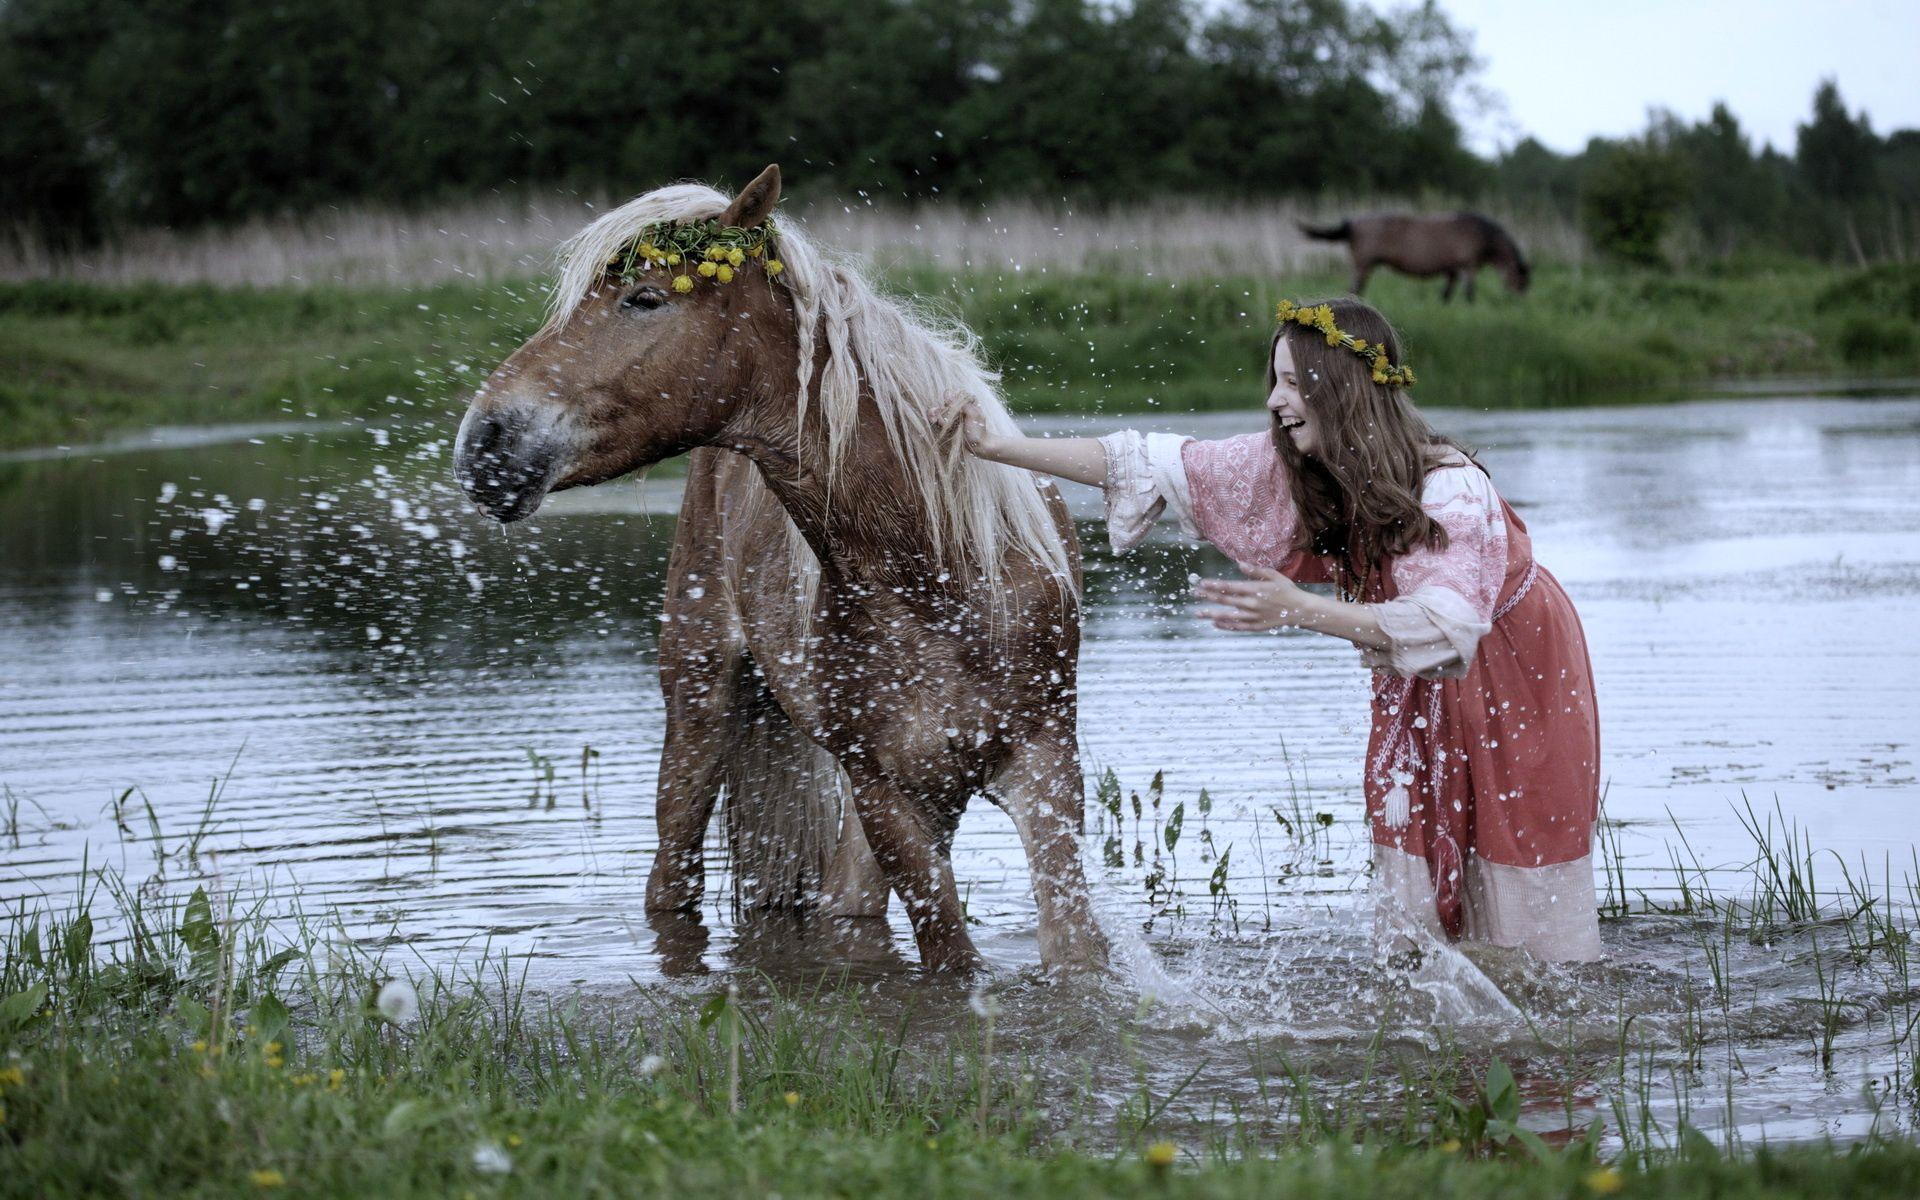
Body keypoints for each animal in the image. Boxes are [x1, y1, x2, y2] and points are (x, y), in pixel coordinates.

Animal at [1297, 213, 1536, 301]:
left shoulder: (1452, 271)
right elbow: (1470, 294)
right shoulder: (1467, 268)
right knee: (1353, 290)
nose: (1520, 301)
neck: (1482, 234)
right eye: (1522, 281)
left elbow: (1445, 296)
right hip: (1362, 266)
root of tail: (1352, 224)